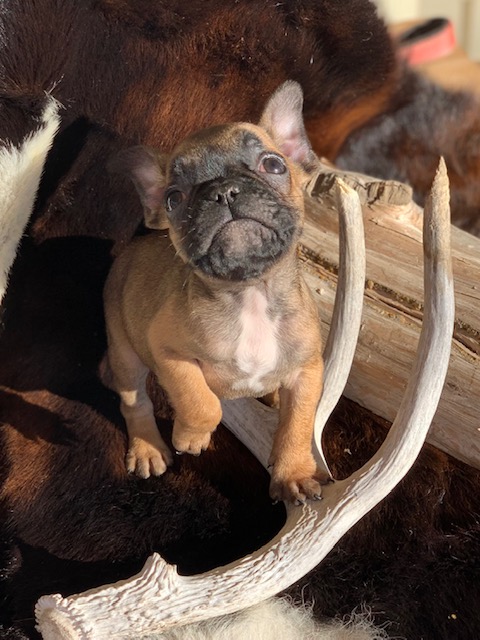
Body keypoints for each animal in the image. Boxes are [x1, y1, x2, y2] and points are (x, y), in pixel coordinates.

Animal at [103, 81, 326, 503]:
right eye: (173, 198)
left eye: (274, 164)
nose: (222, 191)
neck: (250, 293)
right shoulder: (167, 351)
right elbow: (202, 402)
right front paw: (190, 438)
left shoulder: (308, 371)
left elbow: (298, 425)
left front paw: (293, 474)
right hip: (125, 350)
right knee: (134, 400)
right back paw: (148, 448)